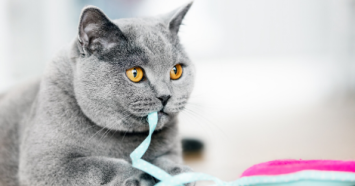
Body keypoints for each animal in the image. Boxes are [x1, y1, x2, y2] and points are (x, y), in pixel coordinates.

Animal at [0, 2, 195, 186]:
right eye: (135, 73)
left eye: (176, 71)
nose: (165, 96)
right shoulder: (43, 163)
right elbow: (95, 165)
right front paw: (139, 175)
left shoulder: (172, 151)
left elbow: (164, 159)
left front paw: (178, 173)